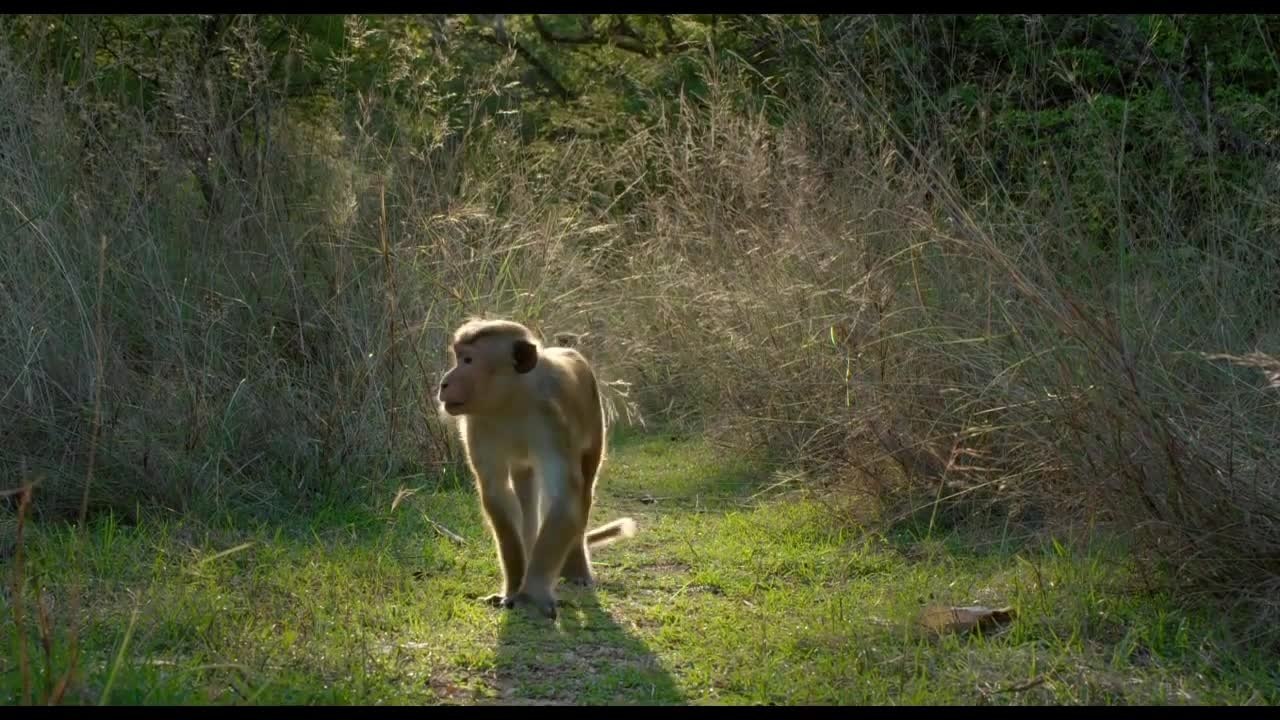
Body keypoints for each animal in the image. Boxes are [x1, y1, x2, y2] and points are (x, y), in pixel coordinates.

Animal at [437, 318, 637, 619]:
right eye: (458, 356)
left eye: (468, 360)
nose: (444, 382)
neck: (512, 402)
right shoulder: (477, 426)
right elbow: (497, 494)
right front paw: (513, 588)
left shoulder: (552, 422)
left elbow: (564, 496)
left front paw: (530, 595)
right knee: (525, 489)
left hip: (594, 420)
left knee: (585, 486)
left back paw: (576, 567)